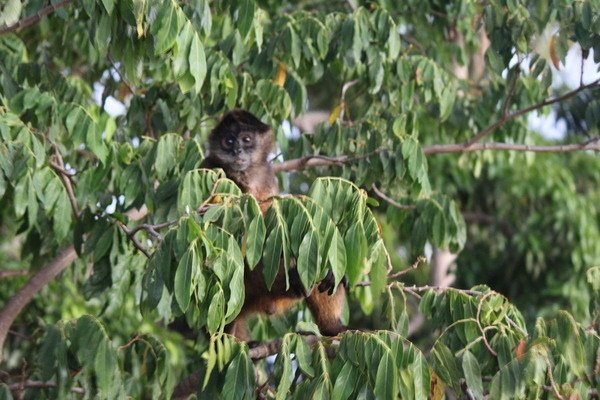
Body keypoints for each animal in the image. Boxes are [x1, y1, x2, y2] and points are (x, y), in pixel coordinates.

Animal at [199, 108, 344, 340]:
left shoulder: (267, 175)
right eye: (228, 141)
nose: (237, 150)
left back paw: (331, 326)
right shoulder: (209, 168)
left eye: (246, 139)